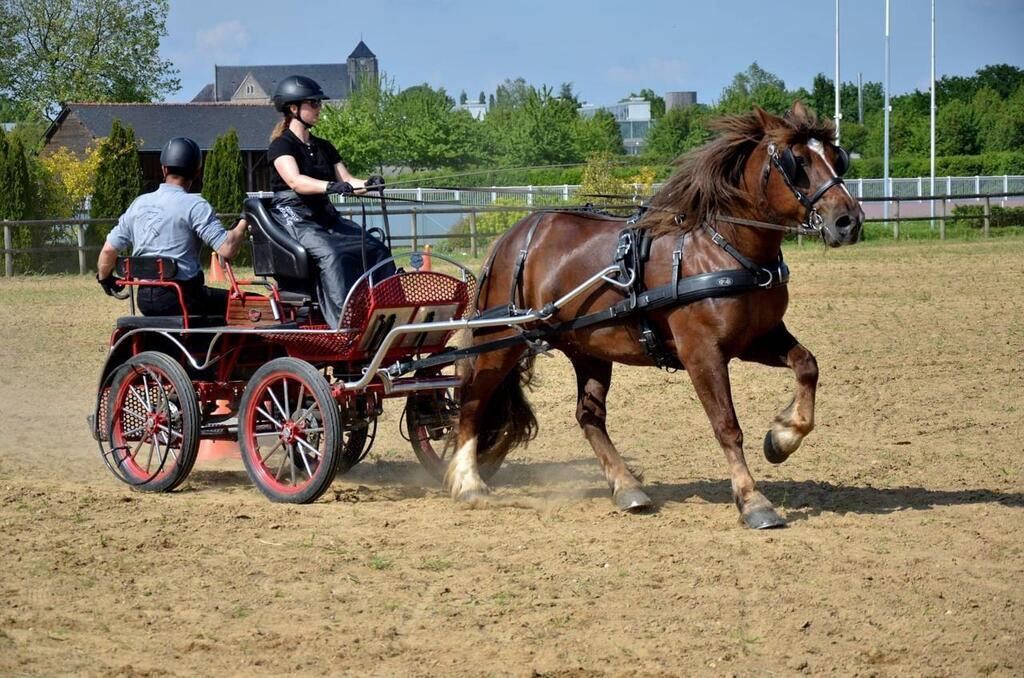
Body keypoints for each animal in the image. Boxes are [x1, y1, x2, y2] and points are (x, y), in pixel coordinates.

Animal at [448, 103, 864, 528]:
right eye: (797, 162)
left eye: (837, 158)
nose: (848, 221)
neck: (723, 247)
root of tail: (512, 235)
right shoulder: (701, 352)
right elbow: (727, 426)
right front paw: (753, 500)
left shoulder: (758, 338)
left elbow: (807, 365)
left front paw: (782, 437)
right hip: (500, 340)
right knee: (472, 399)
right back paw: (468, 483)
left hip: (588, 348)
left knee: (589, 416)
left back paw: (626, 486)